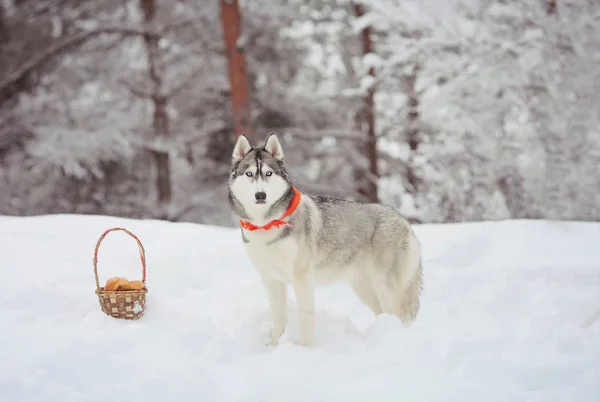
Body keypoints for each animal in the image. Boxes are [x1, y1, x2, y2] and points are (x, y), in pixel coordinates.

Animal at [229, 134, 422, 346]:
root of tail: (403, 220)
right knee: (383, 314)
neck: (266, 224)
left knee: (398, 314)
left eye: (268, 173)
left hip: (385, 287)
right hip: (364, 289)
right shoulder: (271, 280)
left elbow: (305, 317)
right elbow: (278, 320)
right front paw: (272, 348)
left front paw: (304, 348)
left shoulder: (302, 279)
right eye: (249, 174)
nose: (260, 195)